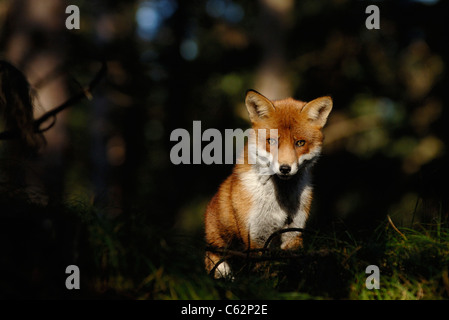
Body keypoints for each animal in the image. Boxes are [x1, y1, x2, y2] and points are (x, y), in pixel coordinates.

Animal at [205, 90, 330, 278]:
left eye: (300, 143)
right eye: (272, 141)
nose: (285, 168)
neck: (280, 201)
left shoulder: (293, 233)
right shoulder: (256, 236)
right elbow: (263, 274)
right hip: (220, 263)